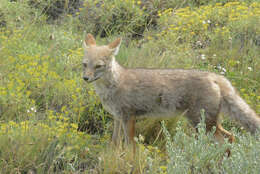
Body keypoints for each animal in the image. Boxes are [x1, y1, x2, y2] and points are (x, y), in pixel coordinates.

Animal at [83, 33, 260, 151]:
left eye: (98, 66)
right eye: (85, 64)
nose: (85, 78)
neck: (113, 85)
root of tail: (215, 76)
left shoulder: (128, 118)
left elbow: (130, 148)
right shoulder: (118, 118)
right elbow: (114, 144)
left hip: (203, 125)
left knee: (226, 142)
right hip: (209, 124)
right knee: (231, 137)